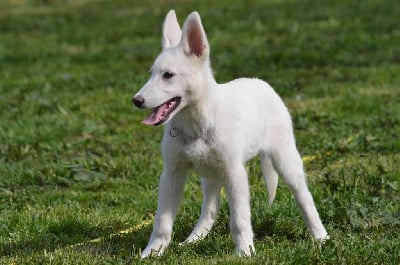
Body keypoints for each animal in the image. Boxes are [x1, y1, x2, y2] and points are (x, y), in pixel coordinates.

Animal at [133, 9, 326, 256]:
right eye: (151, 73)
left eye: (168, 75)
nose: (136, 100)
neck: (198, 123)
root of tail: (260, 82)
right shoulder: (172, 173)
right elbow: (162, 221)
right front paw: (153, 251)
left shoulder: (235, 173)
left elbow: (239, 219)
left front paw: (244, 252)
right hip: (211, 174)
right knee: (211, 208)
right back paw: (194, 239)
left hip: (285, 160)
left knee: (304, 197)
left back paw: (321, 236)